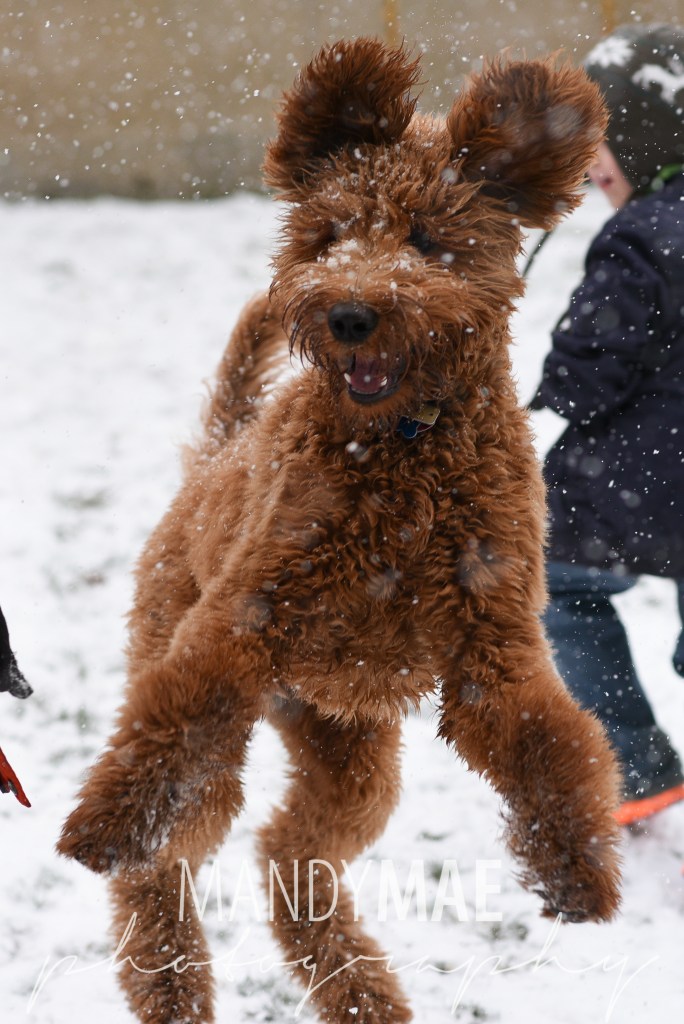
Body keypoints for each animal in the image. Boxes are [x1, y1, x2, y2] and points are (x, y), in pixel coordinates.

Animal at [57, 38, 622, 1024]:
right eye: (328, 234)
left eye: (429, 241)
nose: (350, 313)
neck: (401, 460)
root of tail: (218, 450)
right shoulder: (239, 624)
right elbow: (166, 727)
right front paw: (103, 822)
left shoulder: (495, 644)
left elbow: (552, 743)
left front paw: (576, 871)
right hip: (229, 703)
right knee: (165, 859)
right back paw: (172, 981)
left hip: (348, 748)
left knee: (293, 854)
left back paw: (358, 989)